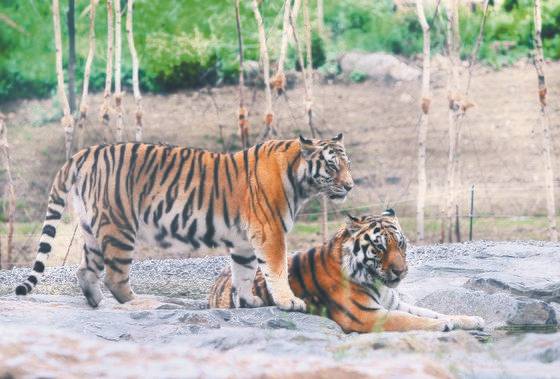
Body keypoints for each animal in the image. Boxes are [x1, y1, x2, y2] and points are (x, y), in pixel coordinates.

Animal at [210, 211, 486, 332]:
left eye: (401, 244)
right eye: (379, 247)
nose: (400, 271)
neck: (379, 283)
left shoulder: (394, 303)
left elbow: (431, 311)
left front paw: (469, 319)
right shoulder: (365, 315)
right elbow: (410, 320)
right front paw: (443, 325)